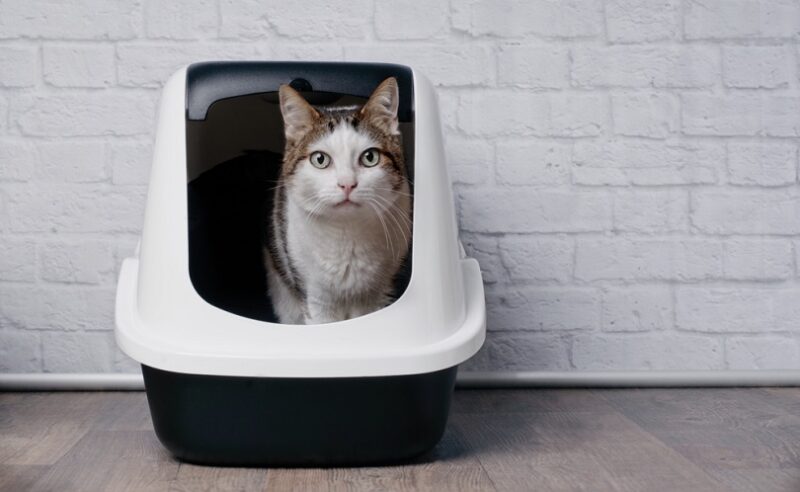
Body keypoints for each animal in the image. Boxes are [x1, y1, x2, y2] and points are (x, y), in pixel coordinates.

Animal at [266, 78, 412, 326]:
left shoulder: (376, 295)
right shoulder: (316, 298)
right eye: (320, 159)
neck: (347, 232)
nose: (347, 184)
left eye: (370, 157)